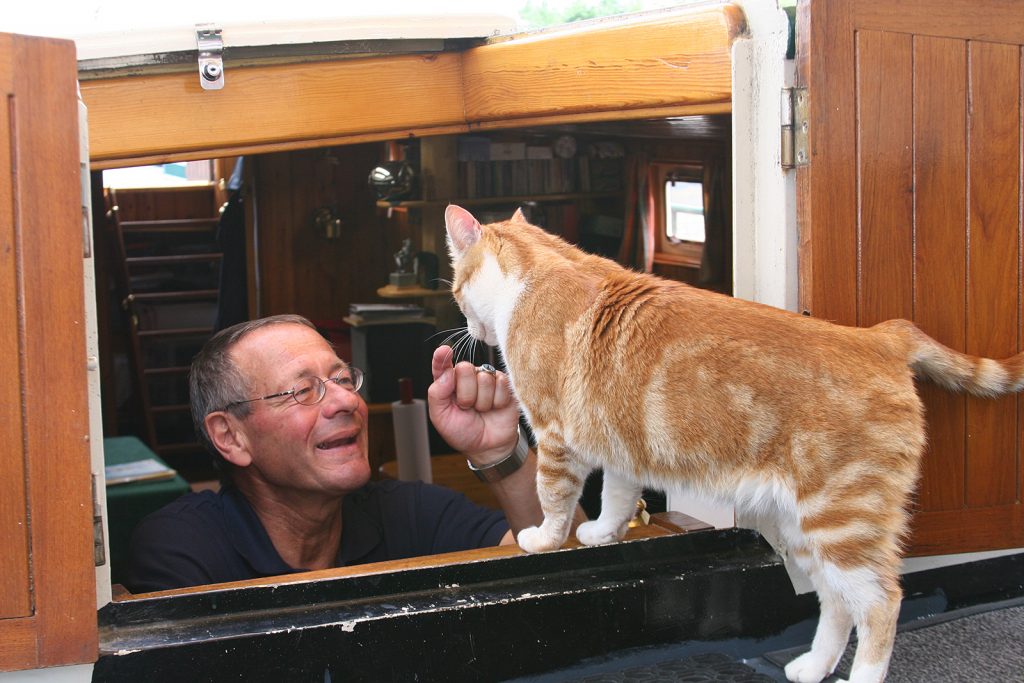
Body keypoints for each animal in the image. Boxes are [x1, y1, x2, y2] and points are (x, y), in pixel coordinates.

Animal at [444, 204, 1024, 683]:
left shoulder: (556, 438)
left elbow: (554, 498)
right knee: (837, 603)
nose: (468, 329)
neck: (535, 271)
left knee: (882, 605)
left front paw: (543, 538)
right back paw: (812, 668)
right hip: (805, 530)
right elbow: (617, 497)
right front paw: (603, 534)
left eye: (455, 288)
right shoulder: (620, 447)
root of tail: (882, 336)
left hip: (842, 522)